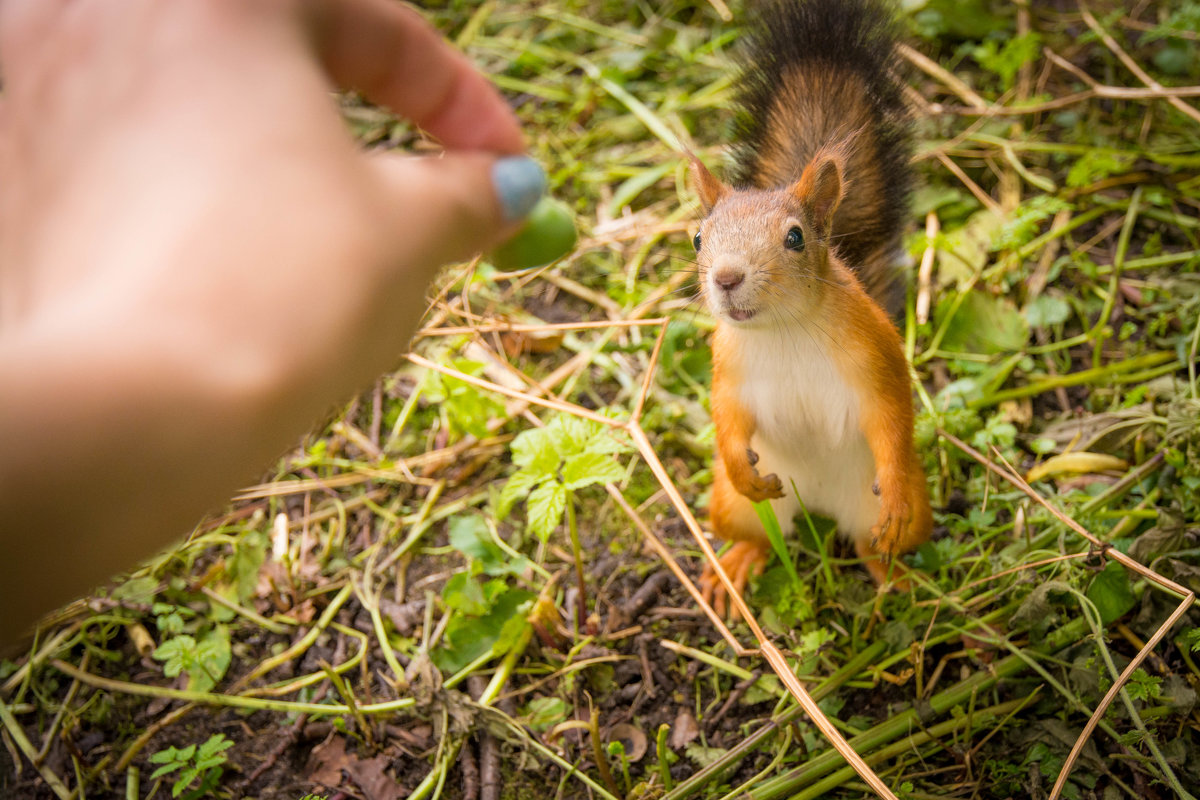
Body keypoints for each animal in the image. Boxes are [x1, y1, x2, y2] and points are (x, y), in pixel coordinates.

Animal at [686, 0, 936, 614]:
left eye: (795, 238)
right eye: (699, 239)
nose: (726, 278)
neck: (784, 330)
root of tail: (818, 505)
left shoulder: (876, 358)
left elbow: (891, 418)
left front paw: (894, 484)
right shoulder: (728, 368)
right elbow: (727, 416)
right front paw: (738, 460)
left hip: (894, 510)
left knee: (875, 544)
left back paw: (896, 574)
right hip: (731, 506)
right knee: (758, 532)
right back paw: (739, 561)